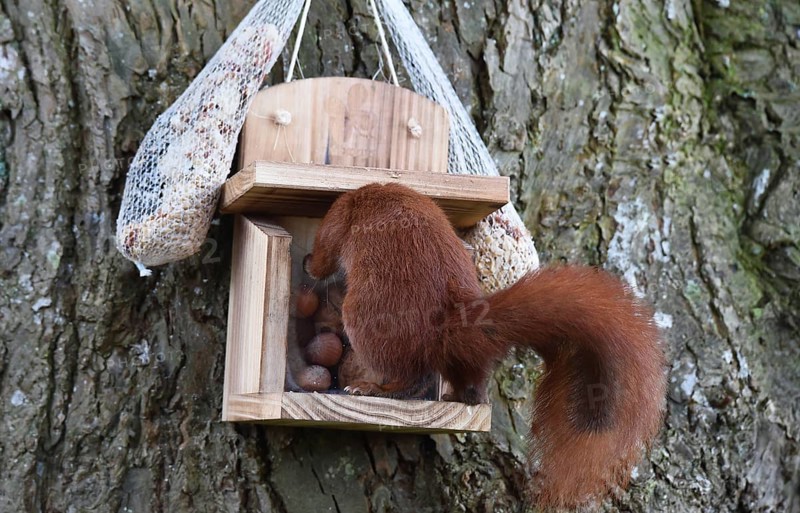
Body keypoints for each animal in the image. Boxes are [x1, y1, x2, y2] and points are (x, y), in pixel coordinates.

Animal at [303, 182, 667, 508]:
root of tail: (454, 328)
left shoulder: (338, 219)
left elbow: (325, 256)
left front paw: (308, 263)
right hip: (459, 362)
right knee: (470, 388)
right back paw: (458, 396)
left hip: (366, 321)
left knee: (411, 380)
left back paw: (372, 388)